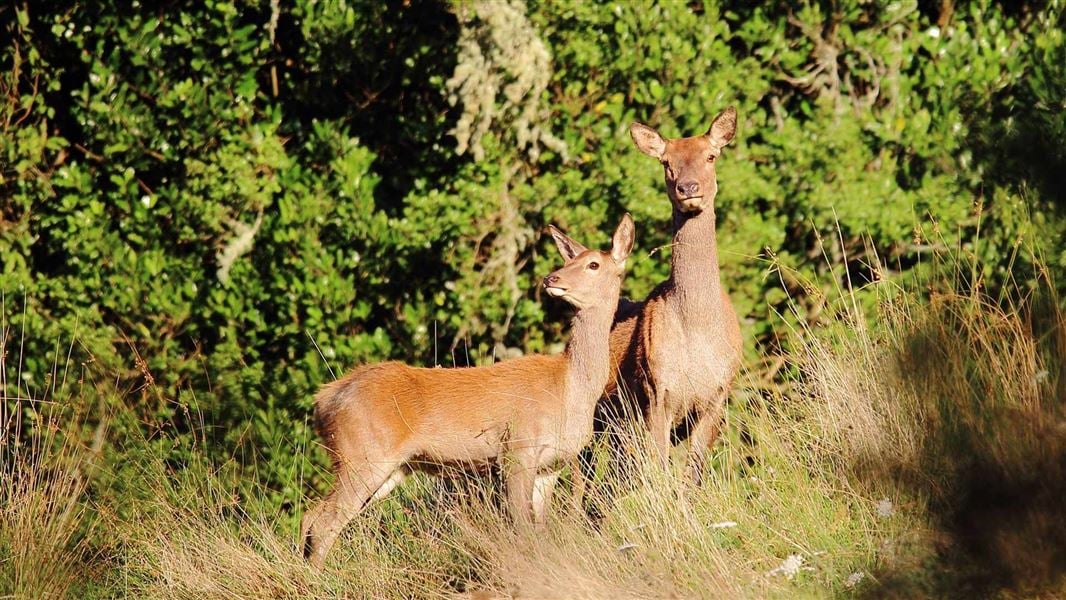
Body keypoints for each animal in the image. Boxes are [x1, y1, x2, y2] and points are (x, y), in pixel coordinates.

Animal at [300, 214, 635, 566]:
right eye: (569, 260)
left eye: (593, 263)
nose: (550, 278)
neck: (570, 387)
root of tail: (323, 400)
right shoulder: (516, 449)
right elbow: (522, 528)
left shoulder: (550, 466)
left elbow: (541, 531)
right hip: (363, 454)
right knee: (323, 523)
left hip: (383, 467)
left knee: (312, 517)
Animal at [604, 106, 741, 486]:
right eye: (666, 162)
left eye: (711, 156)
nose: (688, 187)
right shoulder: (657, 393)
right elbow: (660, 471)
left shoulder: (718, 395)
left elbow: (692, 474)